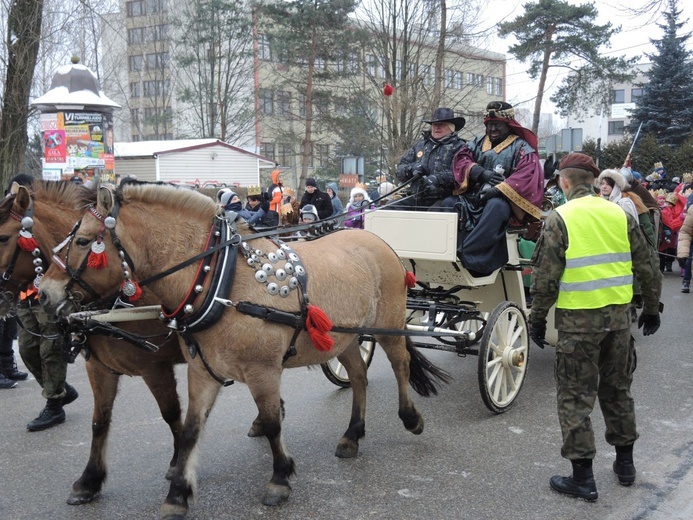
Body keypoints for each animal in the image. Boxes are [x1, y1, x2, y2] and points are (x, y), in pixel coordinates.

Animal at [0, 182, 185, 504]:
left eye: (3, 237)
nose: (44, 294)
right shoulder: (99, 368)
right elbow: (100, 421)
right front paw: (89, 480)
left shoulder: (156, 367)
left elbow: (171, 414)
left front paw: (177, 464)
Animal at [39, 182, 448, 516]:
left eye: (83, 241)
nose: (44, 293)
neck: (219, 280)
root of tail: (376, 241)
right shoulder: (201, 370)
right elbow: (187, 428)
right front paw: (177, 493)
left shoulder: (259, 370)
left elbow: (271, 422)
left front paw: (280, 478)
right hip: (344, 339)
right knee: (359, 376)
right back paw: (352, 434)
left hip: (387, 327)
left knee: (400, 365)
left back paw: (410, 418)